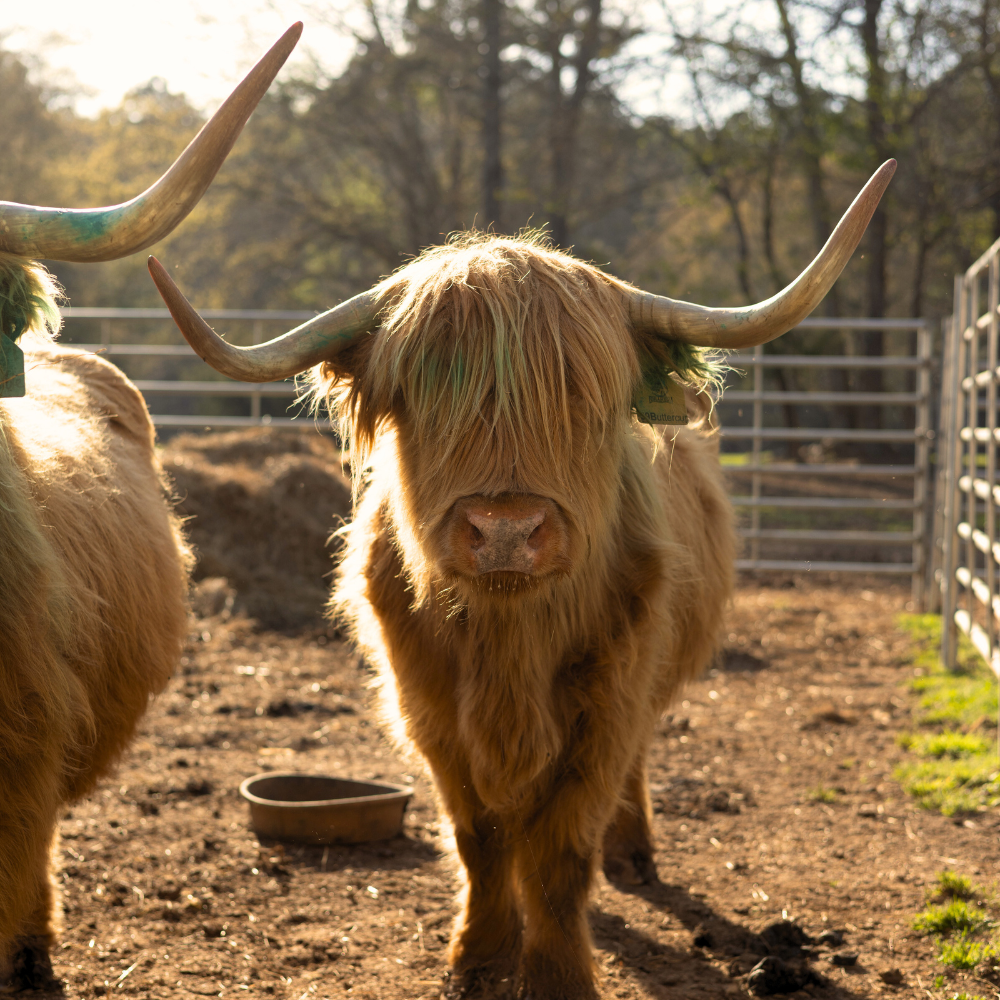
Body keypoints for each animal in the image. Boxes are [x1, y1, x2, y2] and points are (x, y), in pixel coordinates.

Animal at [149, 159, 895, 999]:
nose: (505, 529)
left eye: (582, 397)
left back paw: (633, 853)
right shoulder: (430, 710)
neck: (510, 645)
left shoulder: (607, 706)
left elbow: (561, 850)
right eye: (426, 398)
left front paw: (561, 971)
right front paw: (478, 955)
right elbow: (480, 837)